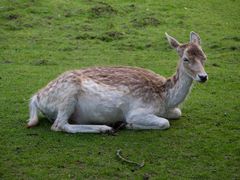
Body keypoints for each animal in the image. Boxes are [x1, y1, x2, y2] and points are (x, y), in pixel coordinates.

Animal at [27, 31, 207, 133]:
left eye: (204, 57)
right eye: (185, 59)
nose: (203, 76)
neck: (165, 98)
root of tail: (37, 98)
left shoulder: (170, 109)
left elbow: (177, 113)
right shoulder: (137, 111)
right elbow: (165, 123)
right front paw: (128, 125)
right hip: (68, 94)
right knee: (59, 125)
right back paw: (105, 128)